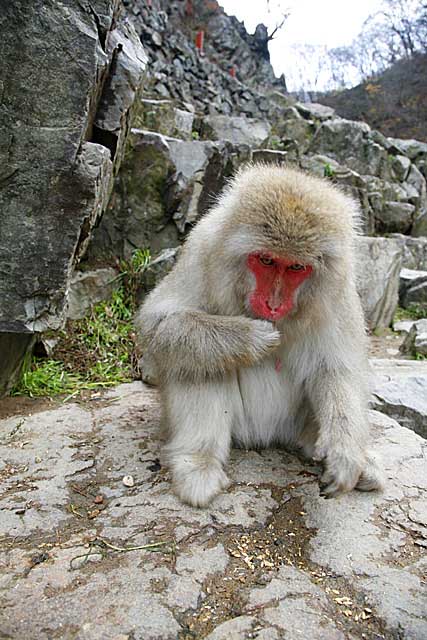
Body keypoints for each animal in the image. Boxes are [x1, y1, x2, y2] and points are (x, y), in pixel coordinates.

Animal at [137, 166, 384, 510]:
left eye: (296, 267)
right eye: (266, 260)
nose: (273, 304)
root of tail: (263, 437)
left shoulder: (338, 288)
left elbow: (337, 369)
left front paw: (344, 452)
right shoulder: (203, 248)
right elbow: (157, 325)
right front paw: (251, 336)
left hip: (290, 424)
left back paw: (348, 458)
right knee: (198, 359)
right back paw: (197, 463)